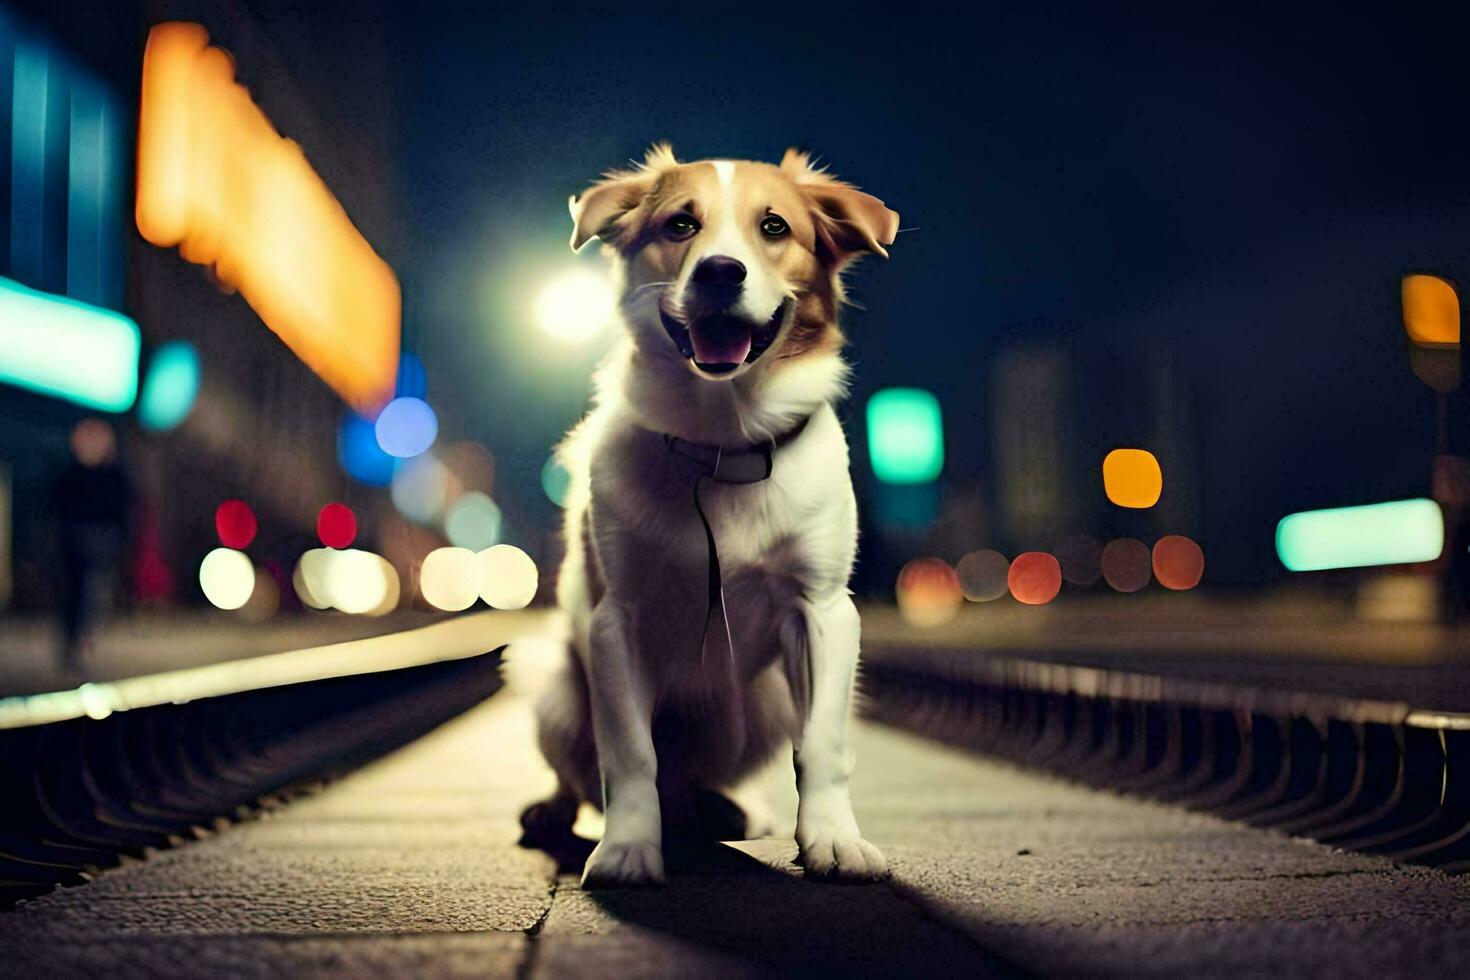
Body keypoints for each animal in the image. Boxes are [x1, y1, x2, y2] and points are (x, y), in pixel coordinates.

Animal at [523, 145, 899, 887]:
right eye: (680, 224)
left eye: (774, 226)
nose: (721, 271)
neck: (723, 442)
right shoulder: (617, 621)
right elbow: (629, 753)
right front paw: (628, 848)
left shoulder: (822, 611)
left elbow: (823, 745)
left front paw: (832, 839)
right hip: (551, 685)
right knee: (584, 776)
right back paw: (557, 812)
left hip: (764, 701)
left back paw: (728, 810)